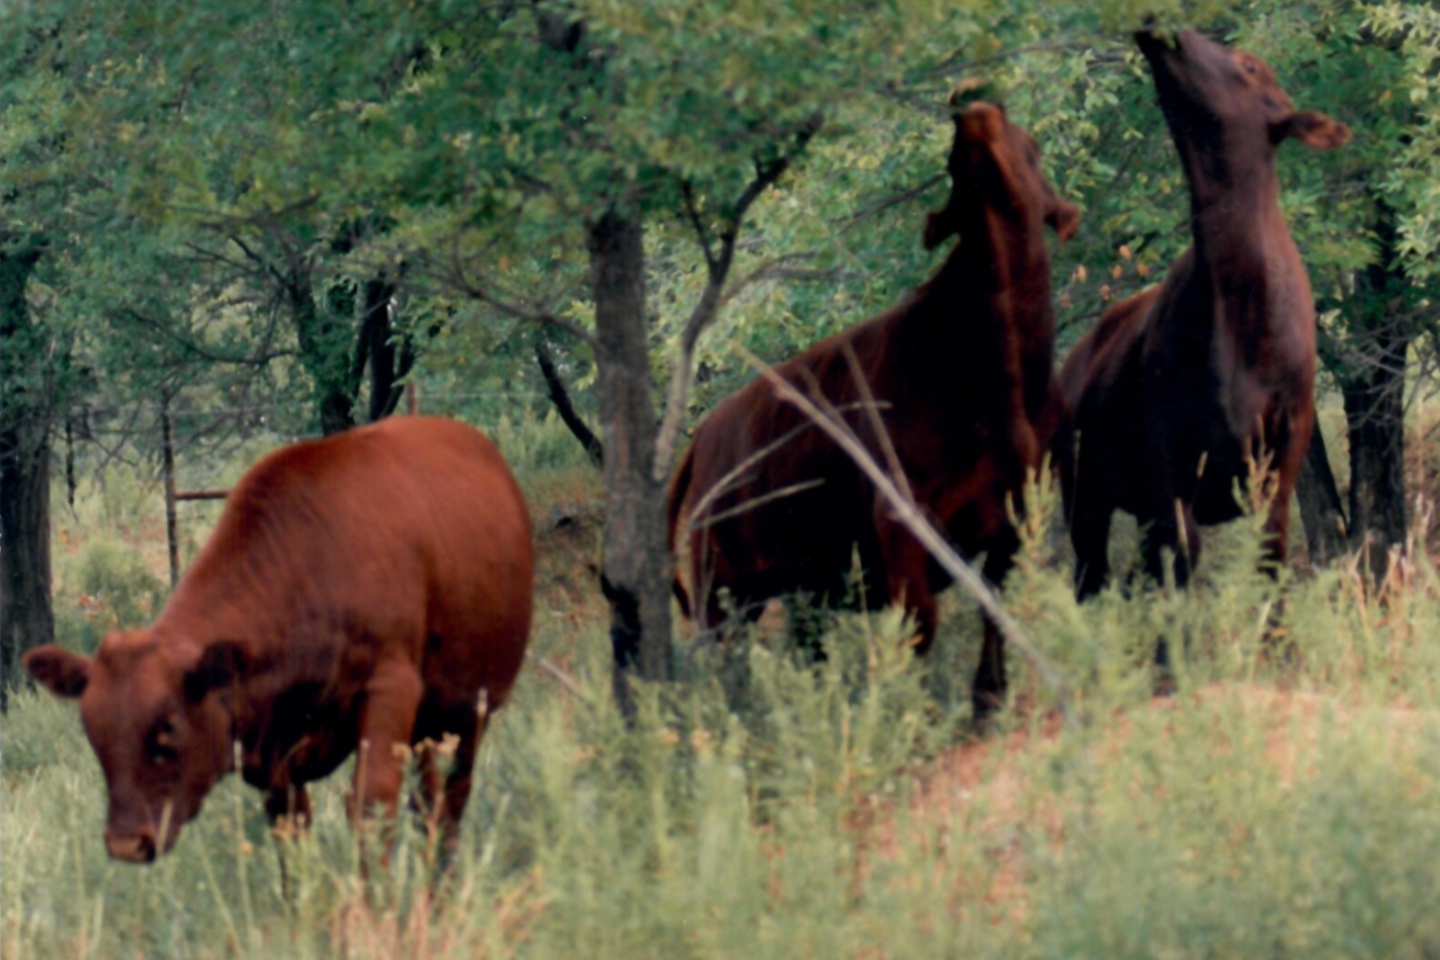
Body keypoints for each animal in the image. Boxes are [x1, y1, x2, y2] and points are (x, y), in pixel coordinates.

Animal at [23, 417, 535, 863]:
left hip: (466, 714)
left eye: (168, 729)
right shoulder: (275, 766)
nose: (126, 844)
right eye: (94, 733)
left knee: (445, 806)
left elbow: (371, 810)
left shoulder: (390, 691)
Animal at [668, 99, 1077, 719]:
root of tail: (702, 439)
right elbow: (920, 624)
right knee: (725, 663)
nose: (980, 109)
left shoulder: (1018, 508)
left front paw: (987, 698)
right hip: (720, 590)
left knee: (802, 653)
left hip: (802, 587)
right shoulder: (899, 520)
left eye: (1031, 145)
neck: (1000, 386)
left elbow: (994, 610)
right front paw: (916, 714)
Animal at [1059, 33, 1347, 613]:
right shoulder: (1169, 463)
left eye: (1249, 65)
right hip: (1080, 492)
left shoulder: (1279, 459)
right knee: (1092, 581)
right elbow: (1184, 569)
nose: (1164, 30)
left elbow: (1267, 568)